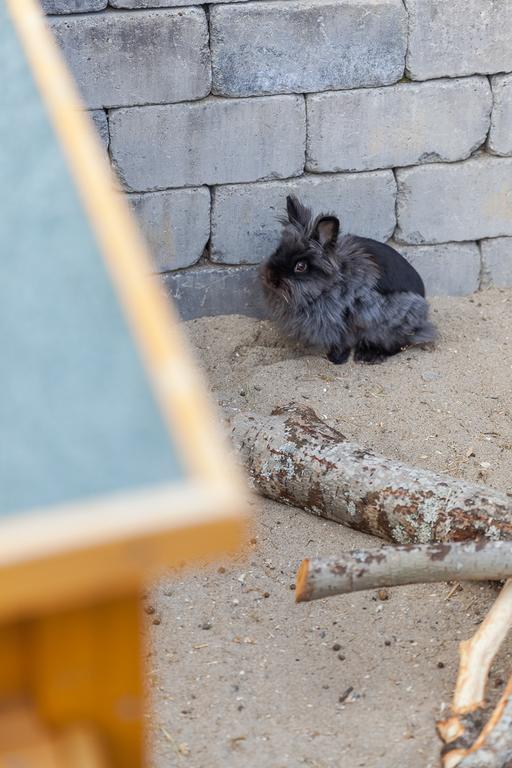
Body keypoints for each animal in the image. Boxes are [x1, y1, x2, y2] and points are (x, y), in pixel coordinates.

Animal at [260, 194, 436, 364]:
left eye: (301, 266)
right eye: (278, 250)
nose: (270, 278)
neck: (331, 284)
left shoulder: (347, 320)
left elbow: (342, 342)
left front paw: (335, 359)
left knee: (399, 344)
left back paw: (369, 356)